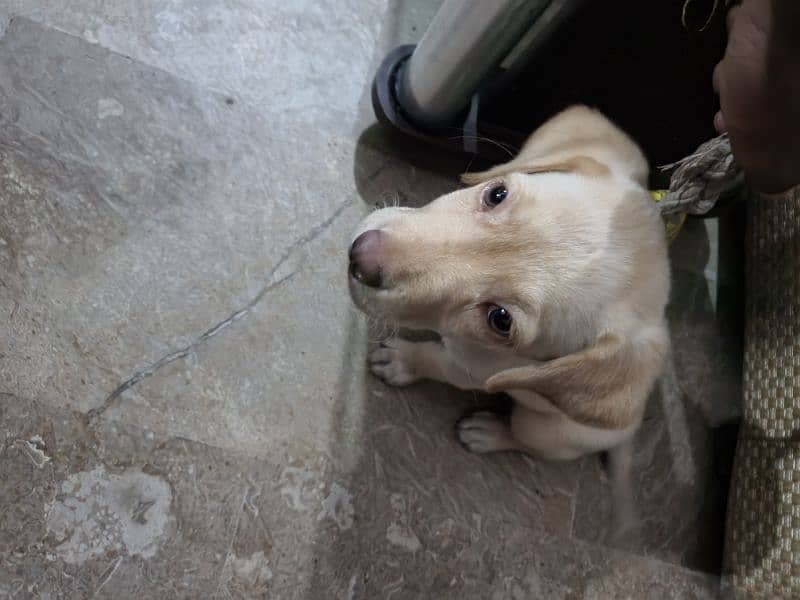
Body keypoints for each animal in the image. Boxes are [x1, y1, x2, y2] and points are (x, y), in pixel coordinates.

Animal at [350, 105, 668, 464]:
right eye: (496, 193)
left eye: (501, 320)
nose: (361, 257)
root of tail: (627, 432)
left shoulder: (469, 370)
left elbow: (435, 360)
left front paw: (403, 360)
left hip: (545, 431)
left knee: (524, 439)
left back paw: (488, 433)